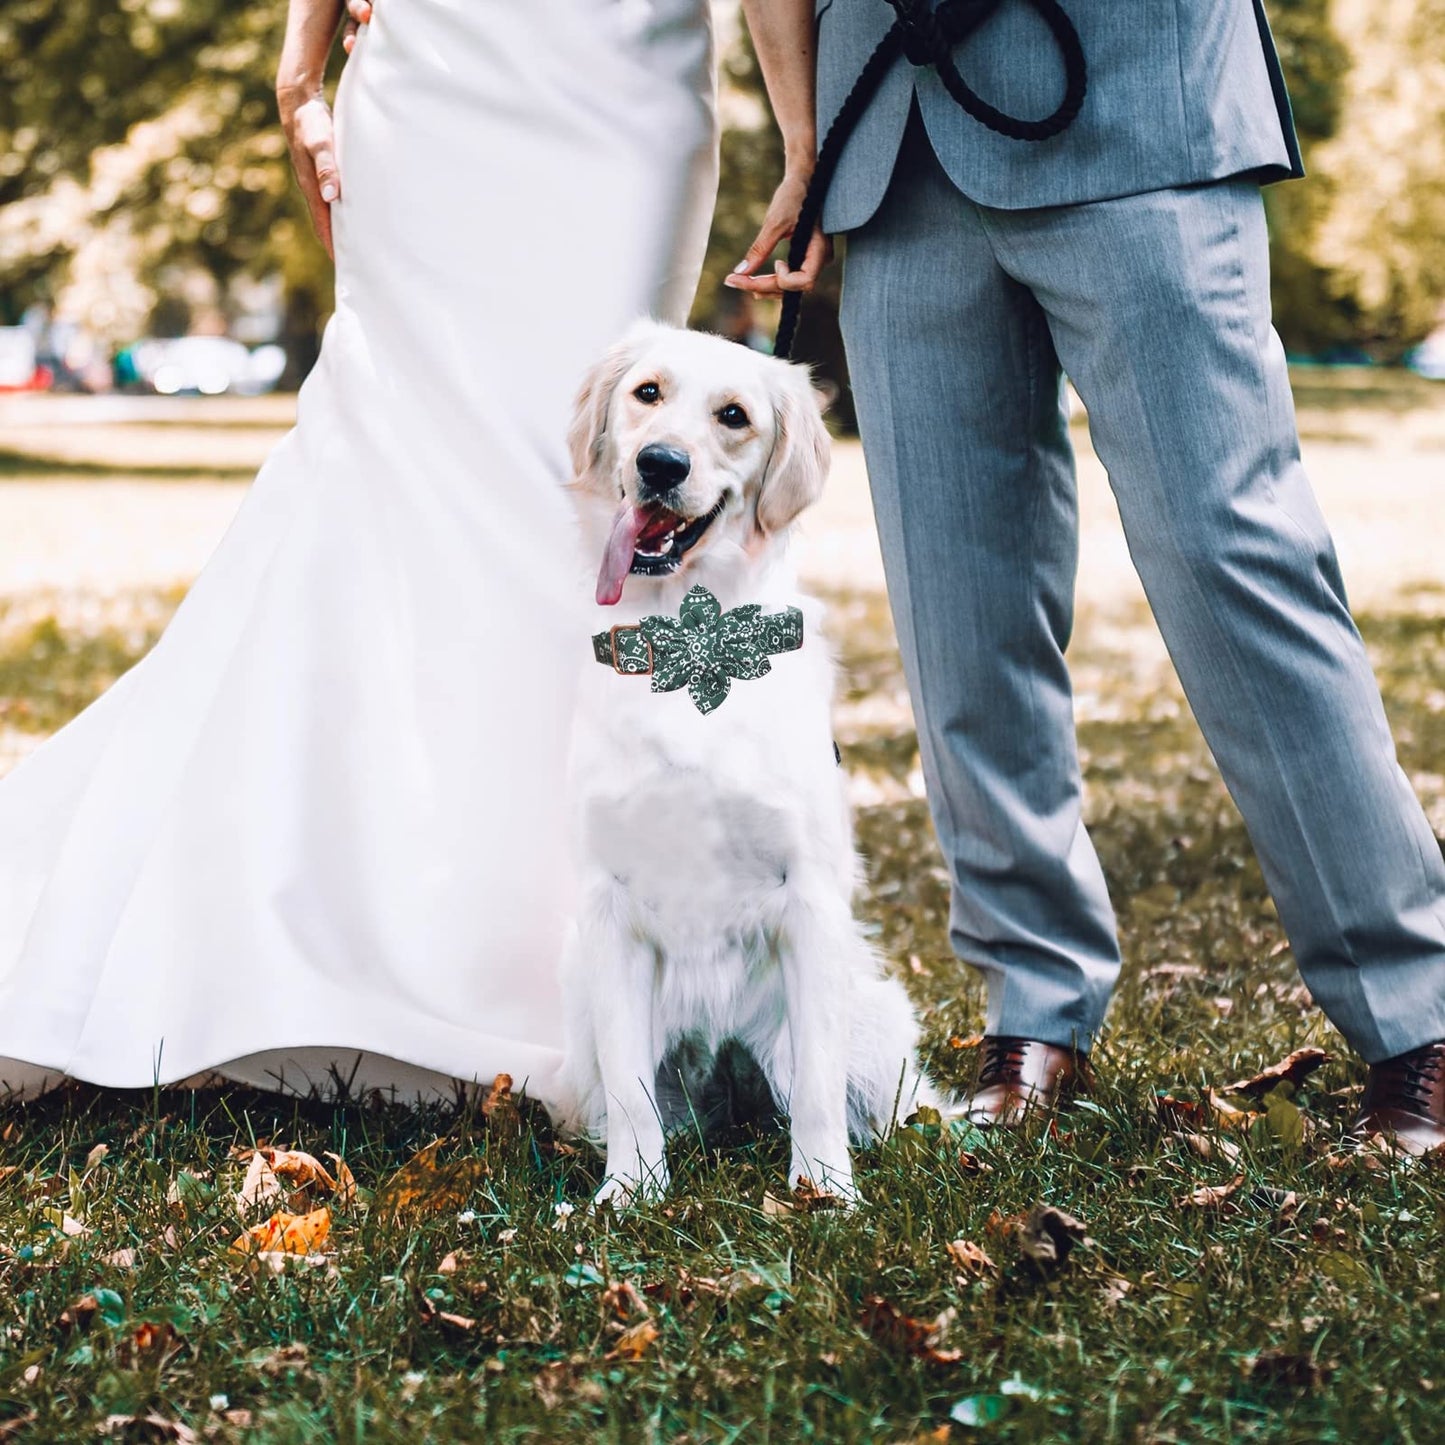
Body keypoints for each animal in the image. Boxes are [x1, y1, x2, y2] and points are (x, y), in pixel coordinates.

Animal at [551, 322, 936, 1202]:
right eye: (647, 393)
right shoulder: (605, 908)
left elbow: (820, 1086)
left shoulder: (811, 900)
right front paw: (629, 1195)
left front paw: (825, 1193)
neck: (690, 649)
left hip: (872, 1020)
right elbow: (631, 1093)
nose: (661, 463)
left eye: (733, 415)